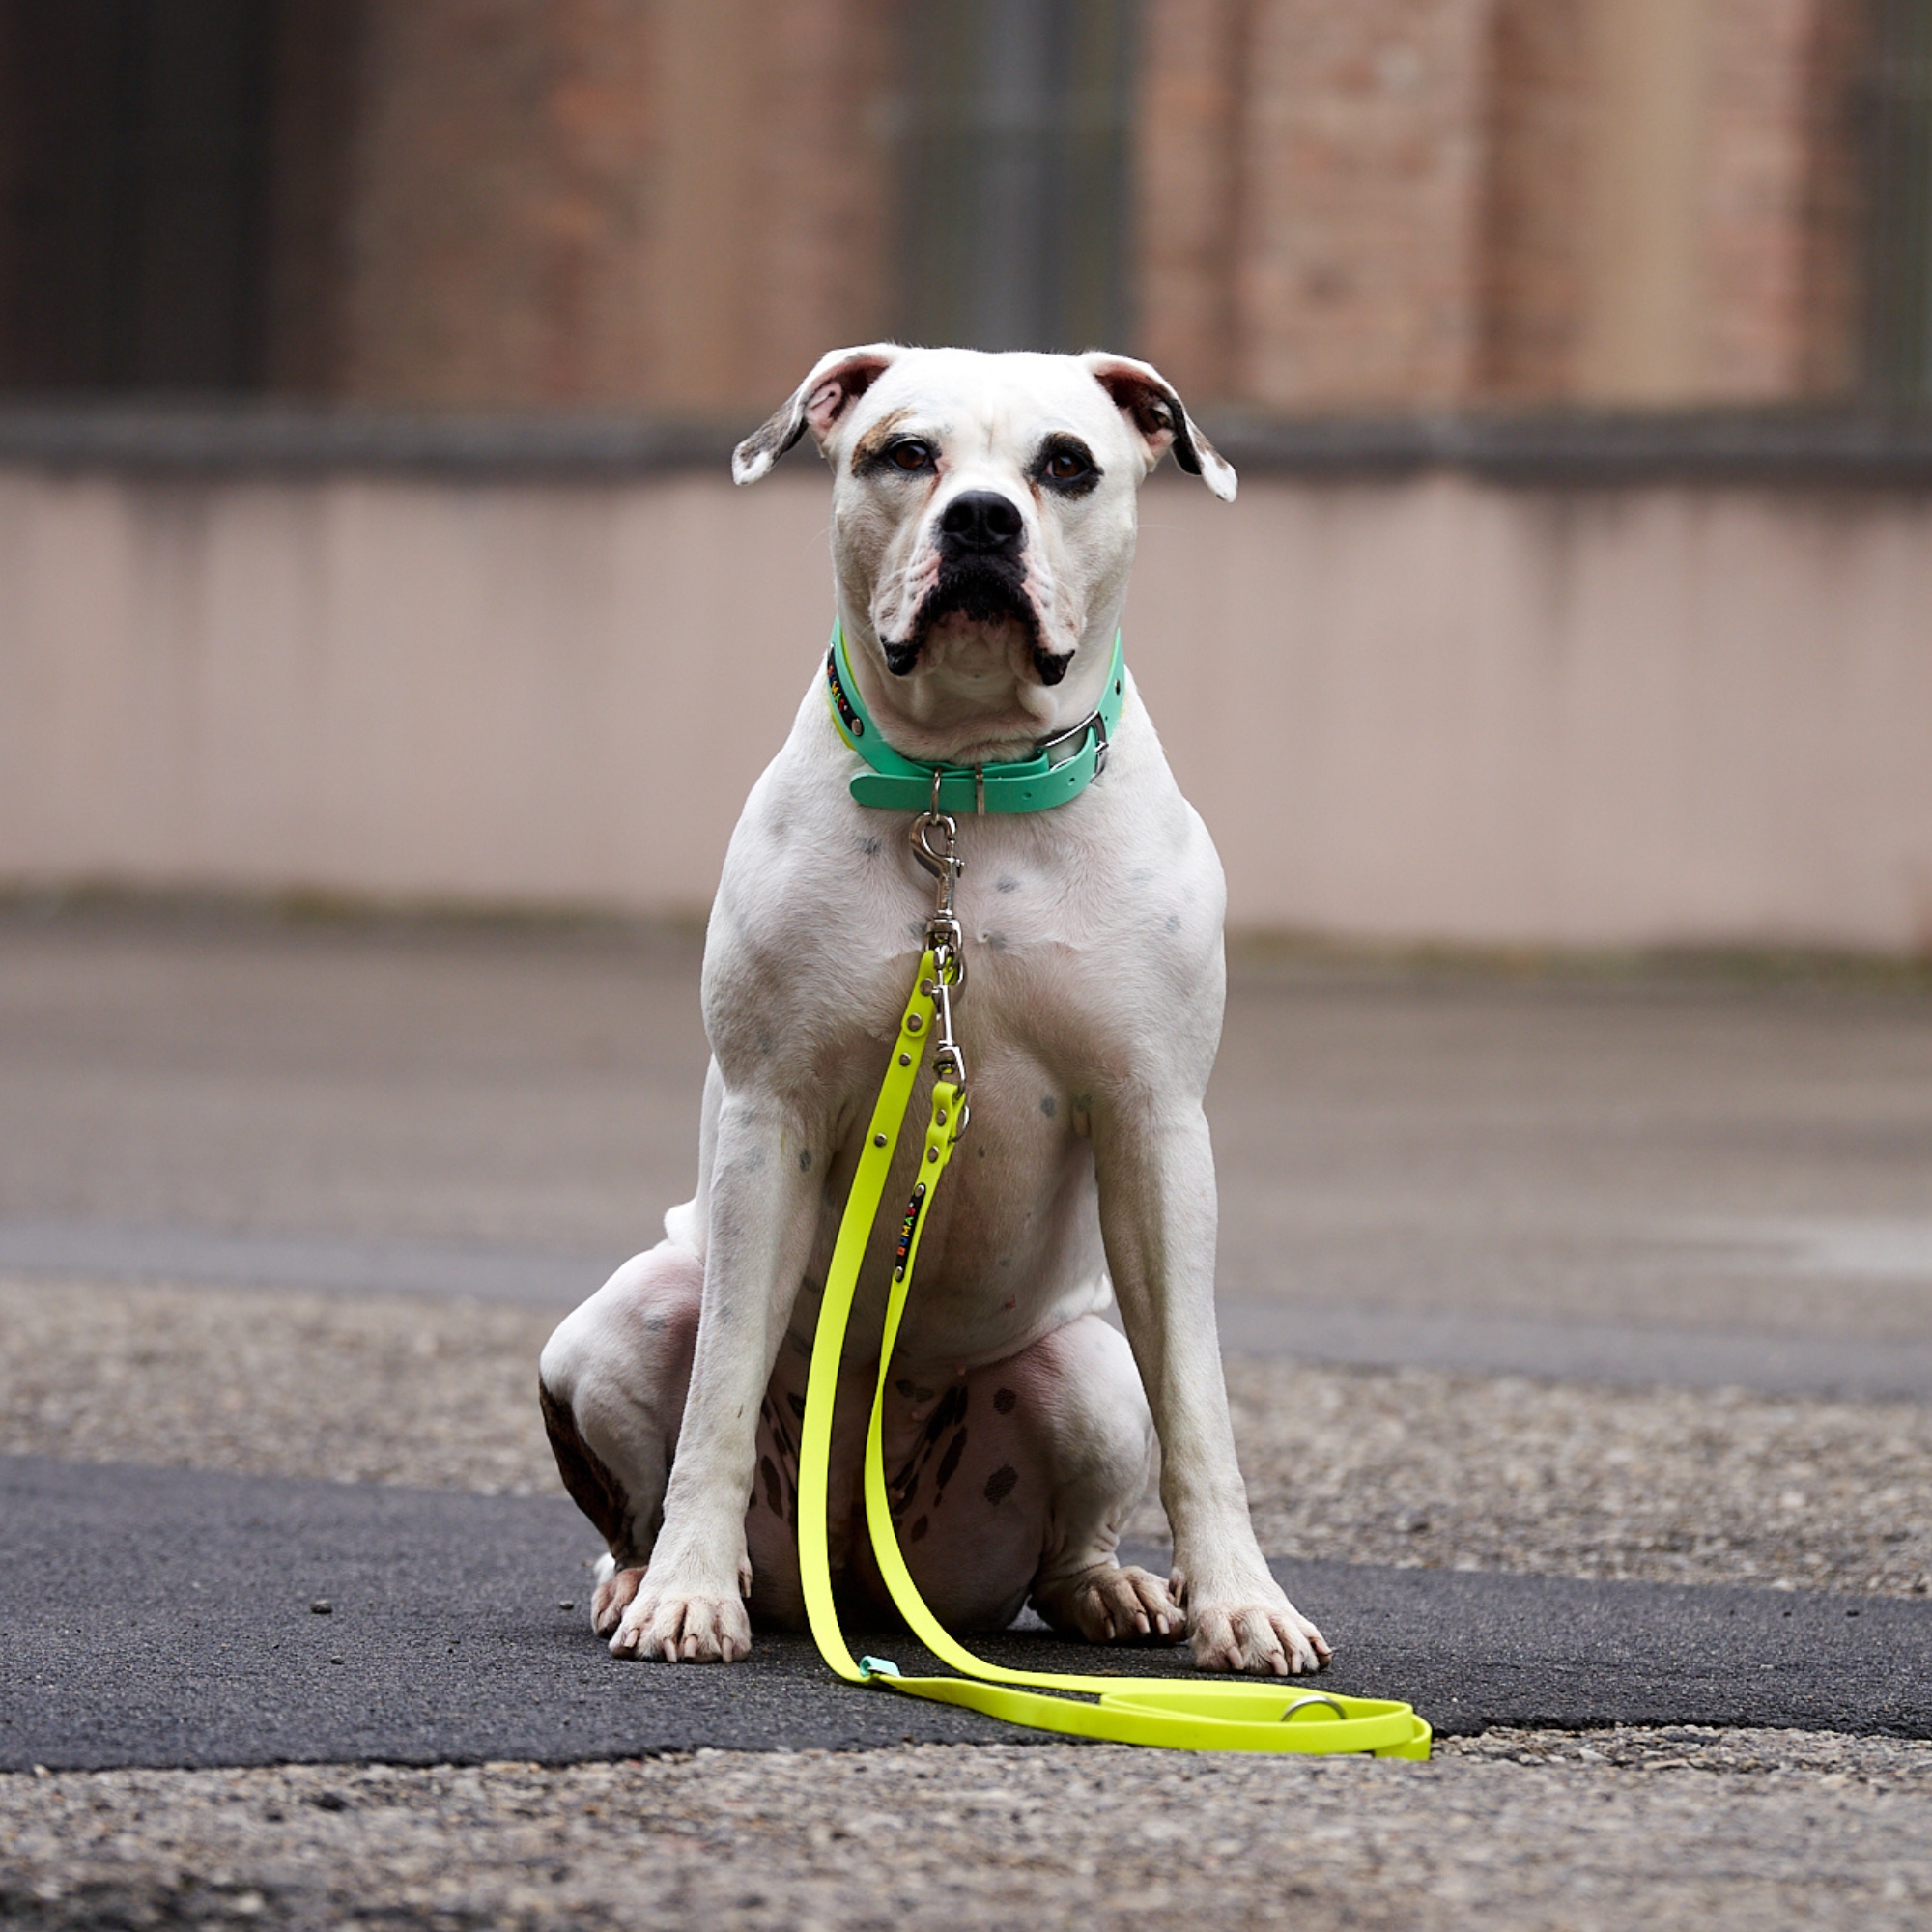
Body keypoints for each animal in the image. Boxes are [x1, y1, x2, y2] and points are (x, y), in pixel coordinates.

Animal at [541, 348, 1329, 1677]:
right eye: (903, 452)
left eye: (1065, 463)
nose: (980, 520)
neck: (964, 791)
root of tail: (861, 1564)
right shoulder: (770, 1117)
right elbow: (718, 1391)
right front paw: (688, 1592)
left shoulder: (1155, 1122)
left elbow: (1199, 1401)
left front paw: (1239, 1599)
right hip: (616, 1320)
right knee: (638, 1476)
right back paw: (649, 1572)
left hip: (1085, 1369)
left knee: (1074, 1524)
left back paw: (1110, 1589)